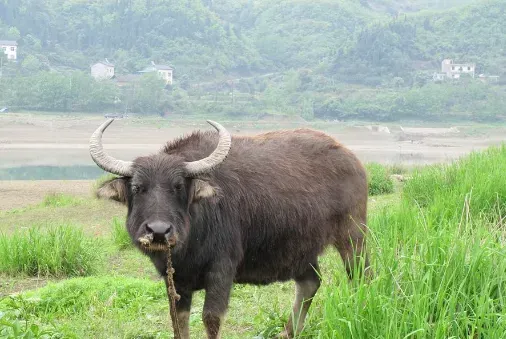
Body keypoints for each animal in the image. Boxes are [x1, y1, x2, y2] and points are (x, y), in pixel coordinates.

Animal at [89, 119, 370, 338]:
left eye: (178, 186)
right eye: (137, 187)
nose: (159, 231)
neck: (193, 239)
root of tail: (352, 160)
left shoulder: (222, 270)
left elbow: (211, 318)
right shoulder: (176, 280)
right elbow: (178, 320)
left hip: (353, 235)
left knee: (361, 276)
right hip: (300, 250)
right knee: (310, 283)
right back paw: (289, 332)